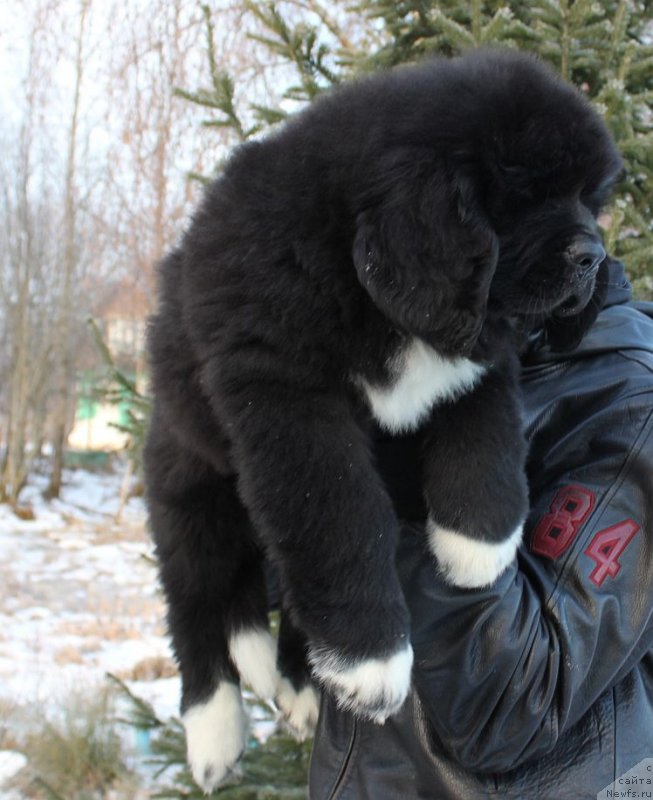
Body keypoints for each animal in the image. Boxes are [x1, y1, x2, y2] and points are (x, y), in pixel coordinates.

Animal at [144, 47, 620, 792]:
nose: (593, 256)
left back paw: (299, 684)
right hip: (189, 476)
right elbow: (344, 523)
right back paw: (215, 733)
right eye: (524, 197)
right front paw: (372, 663)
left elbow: (484, 435)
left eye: (588, 199)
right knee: (195, 604)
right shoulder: (289, 405)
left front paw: (477, 546)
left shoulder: (478, 353)